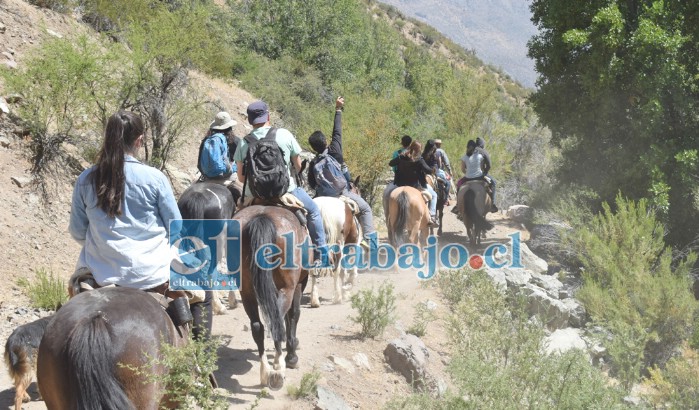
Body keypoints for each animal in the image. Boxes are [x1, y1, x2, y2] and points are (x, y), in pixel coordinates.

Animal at [232, 207, 308, 390]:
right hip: (287, 287)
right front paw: (292, 355)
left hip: (247, 291)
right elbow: (294, 314)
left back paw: (265, 370)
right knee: (277, 320)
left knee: (257, 326)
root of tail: (262, 216)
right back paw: (278, 369)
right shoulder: (298, 284)